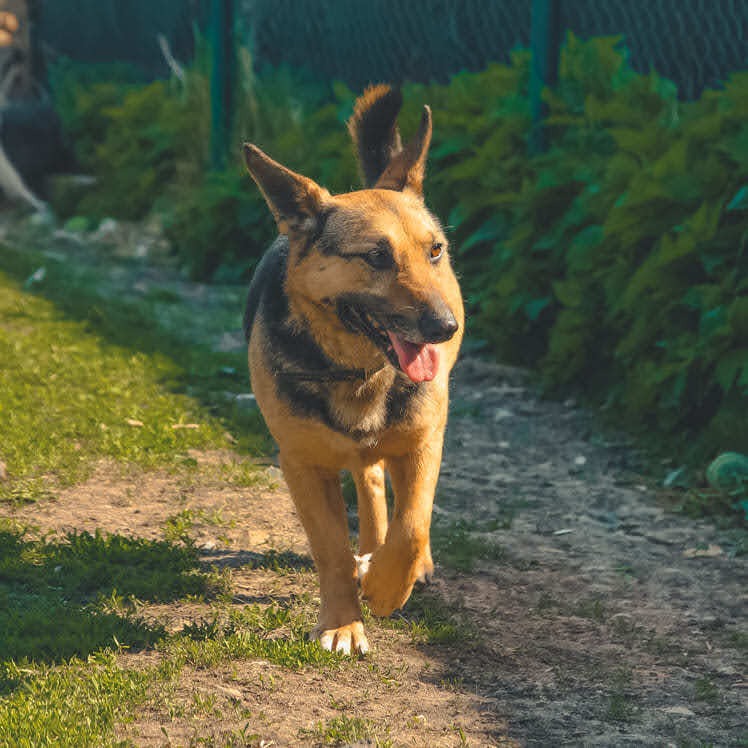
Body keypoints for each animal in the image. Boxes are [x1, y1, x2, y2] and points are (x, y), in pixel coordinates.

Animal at [243, 84, 462, 652]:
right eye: (376, 257)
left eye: (434, 251)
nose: (445, 327)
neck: (360, 371)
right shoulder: (301, 463)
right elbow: (333, 552)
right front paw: (343, 622)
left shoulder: (424, 439)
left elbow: (413, 527)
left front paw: (387, 586)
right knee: (368, 478)